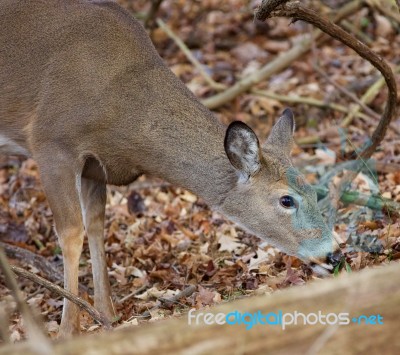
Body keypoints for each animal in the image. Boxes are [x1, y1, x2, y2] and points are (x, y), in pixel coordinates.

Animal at [1, 0, 342, 338]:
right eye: (286, 200)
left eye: (315, 192)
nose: (333, 255)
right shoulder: (51, 142)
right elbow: (71, 234)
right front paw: (68, 332)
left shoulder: (96, 167)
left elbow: (95, 224)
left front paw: (106, 315)